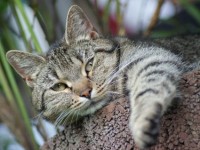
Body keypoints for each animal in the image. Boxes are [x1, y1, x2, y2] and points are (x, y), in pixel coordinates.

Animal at [6, 4, 184, 149]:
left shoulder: (151, 58)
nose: (85, 93)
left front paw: (143, 121)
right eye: (59, 86)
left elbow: (149, 86)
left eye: (89, 65)